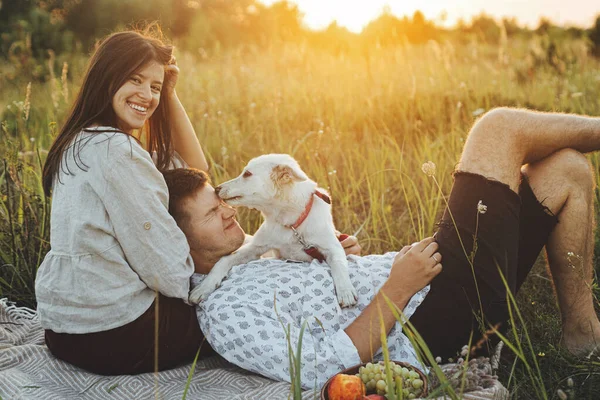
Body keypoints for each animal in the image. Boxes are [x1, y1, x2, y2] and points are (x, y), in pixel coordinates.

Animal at [189, 153, 356, 306]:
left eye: (247, 174)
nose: (217, 189)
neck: (290, 224)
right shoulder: (256, 247)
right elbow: (224, 260)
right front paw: (204, 286)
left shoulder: (333, 248)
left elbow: (339, 266)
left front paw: (345, 291)